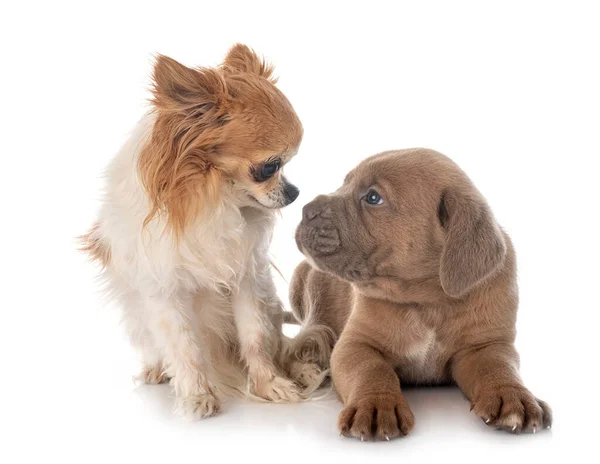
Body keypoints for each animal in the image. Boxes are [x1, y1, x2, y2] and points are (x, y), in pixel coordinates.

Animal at [290, 150, 552, 442]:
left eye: (373, 197)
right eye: (344, 183)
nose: (305, 209)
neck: (428, 300)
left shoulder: (485, 346)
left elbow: (498, 367)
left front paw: (512, 397)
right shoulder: (356, 344)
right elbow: (371, 370)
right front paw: (376, 404)